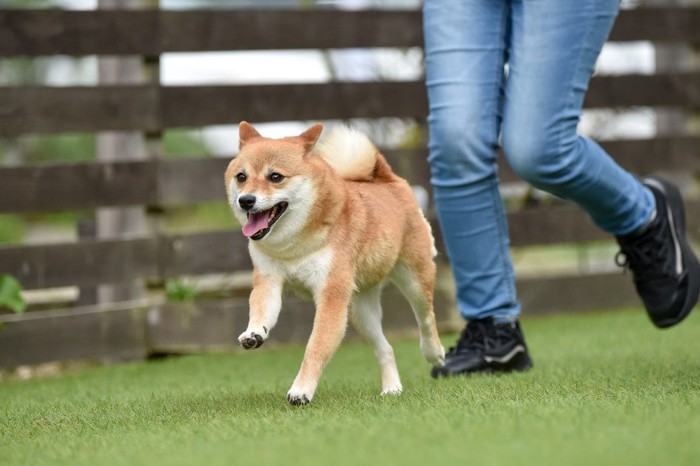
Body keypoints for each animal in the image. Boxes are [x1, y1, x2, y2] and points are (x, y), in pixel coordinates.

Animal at [226, 122, 442, 406]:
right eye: (241, 177)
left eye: (275, 177)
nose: (246, 200)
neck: (294, 246)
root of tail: (388, 180)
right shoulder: (269, 280)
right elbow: (261, 311)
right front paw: (254, 333)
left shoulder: (331, 296)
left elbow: (315, 346)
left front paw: (301, 390)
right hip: (360, 311)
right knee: (385, 348)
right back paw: (392, 389)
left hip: (414, 279)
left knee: (426, 317)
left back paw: (434, 352)